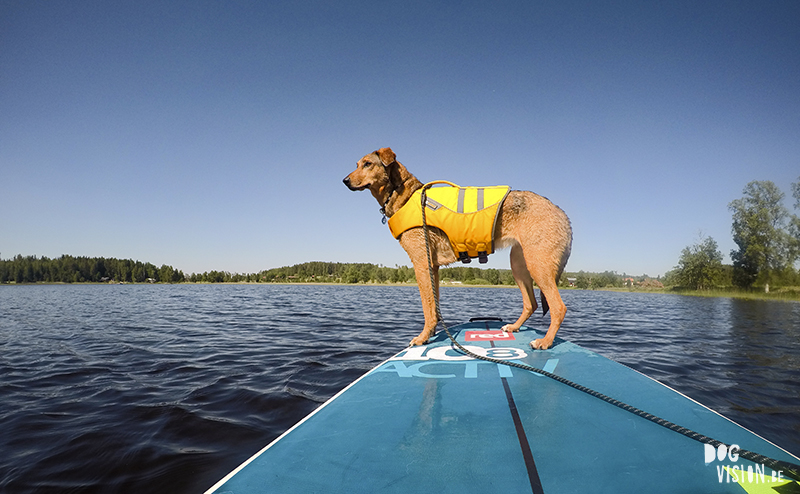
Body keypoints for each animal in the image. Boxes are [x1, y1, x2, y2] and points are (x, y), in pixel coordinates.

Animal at [340, 148, 572, 352]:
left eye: (368, 164)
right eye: (357, 164)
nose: (344, 181)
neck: (404, 194)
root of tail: (561, 213)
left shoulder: (421, 264)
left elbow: (427, 307)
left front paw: (422, 338)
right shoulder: (432, 267)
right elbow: (434, 307)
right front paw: (431, 334)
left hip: (537, 265)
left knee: (558, 308)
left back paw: (545, 342)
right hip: (519, 265)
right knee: (531, 303)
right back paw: (514, 327)